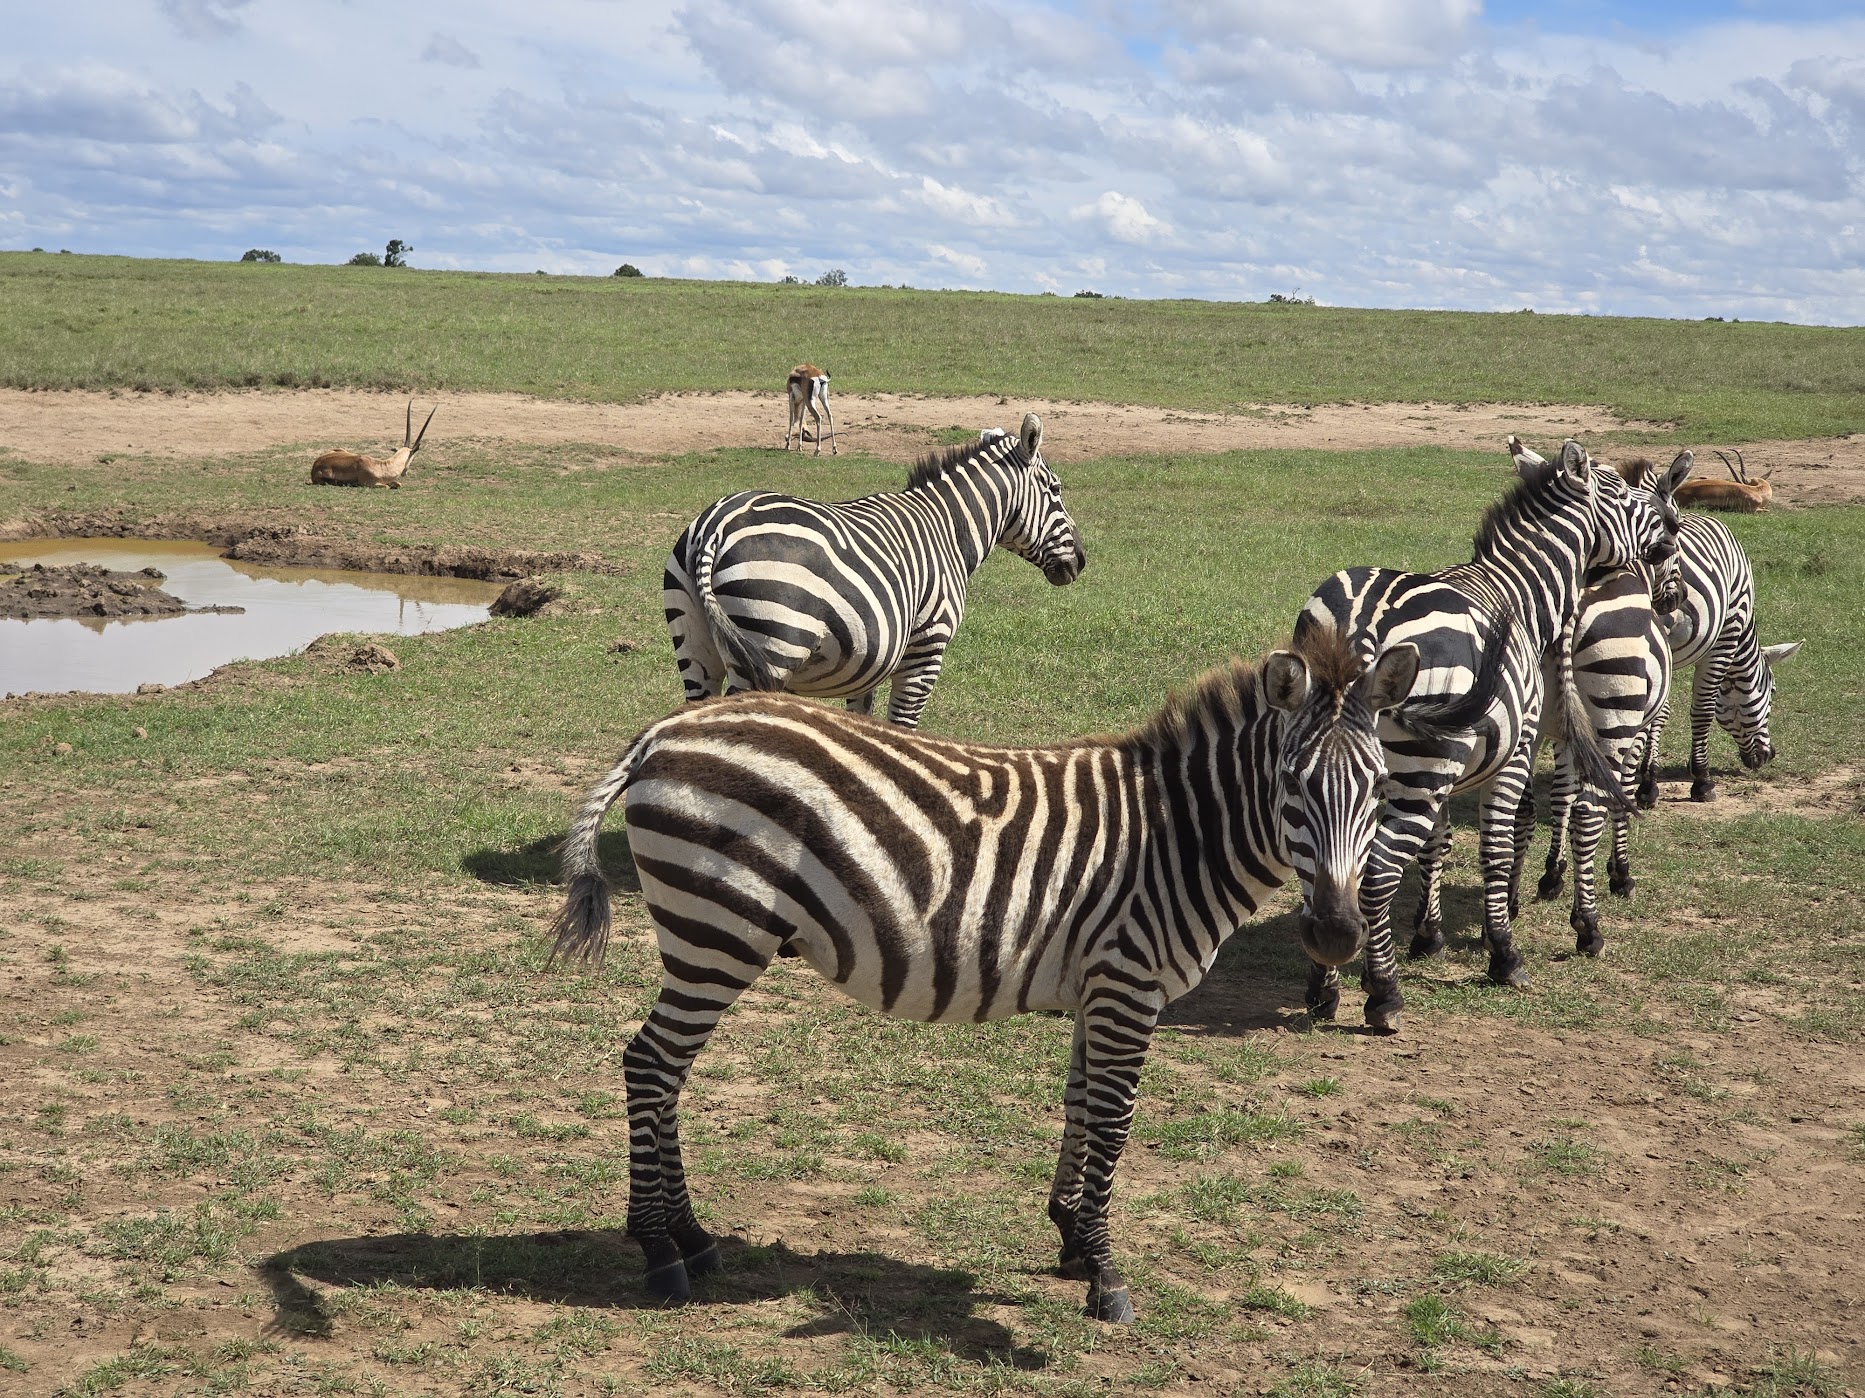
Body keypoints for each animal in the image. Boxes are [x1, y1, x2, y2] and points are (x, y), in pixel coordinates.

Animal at [548, 625, 1423, 1323]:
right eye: (1291, 785)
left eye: (1381, 786)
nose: (1336, 935)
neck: (1178, 838)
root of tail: (665, 731)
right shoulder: (1128, 984)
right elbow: (1114, 1122)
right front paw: (1105, 1276)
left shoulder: (1097, 986)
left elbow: (1079, 1107)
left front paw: (1070, 1238)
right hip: (716, 931)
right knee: (649, 1064)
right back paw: (660, 1251)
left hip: (711, 934)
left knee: (664, 1071)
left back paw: (693, 1239)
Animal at [663, 413, 1084, 727]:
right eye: (1056, 490)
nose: (1080, 561)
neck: (947, 529)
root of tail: (715, 526)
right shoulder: (925, 651)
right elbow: (903, 726)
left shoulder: (868, 660)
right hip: (772, 645)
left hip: (696, 648)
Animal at [1294, 439, 1687, 1031]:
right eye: (1620, 492)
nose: (1671, 525)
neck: (1523, 589)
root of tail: (1363, 622)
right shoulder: (1514, 751)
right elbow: (1499, 846)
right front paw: (1504, 952)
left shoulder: (1451, 769)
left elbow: (1437, 844)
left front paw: (1427, 938)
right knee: (1381, 871)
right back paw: (1385, 995)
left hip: (1333, 765)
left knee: (1317, 866)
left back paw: (1324, 985)